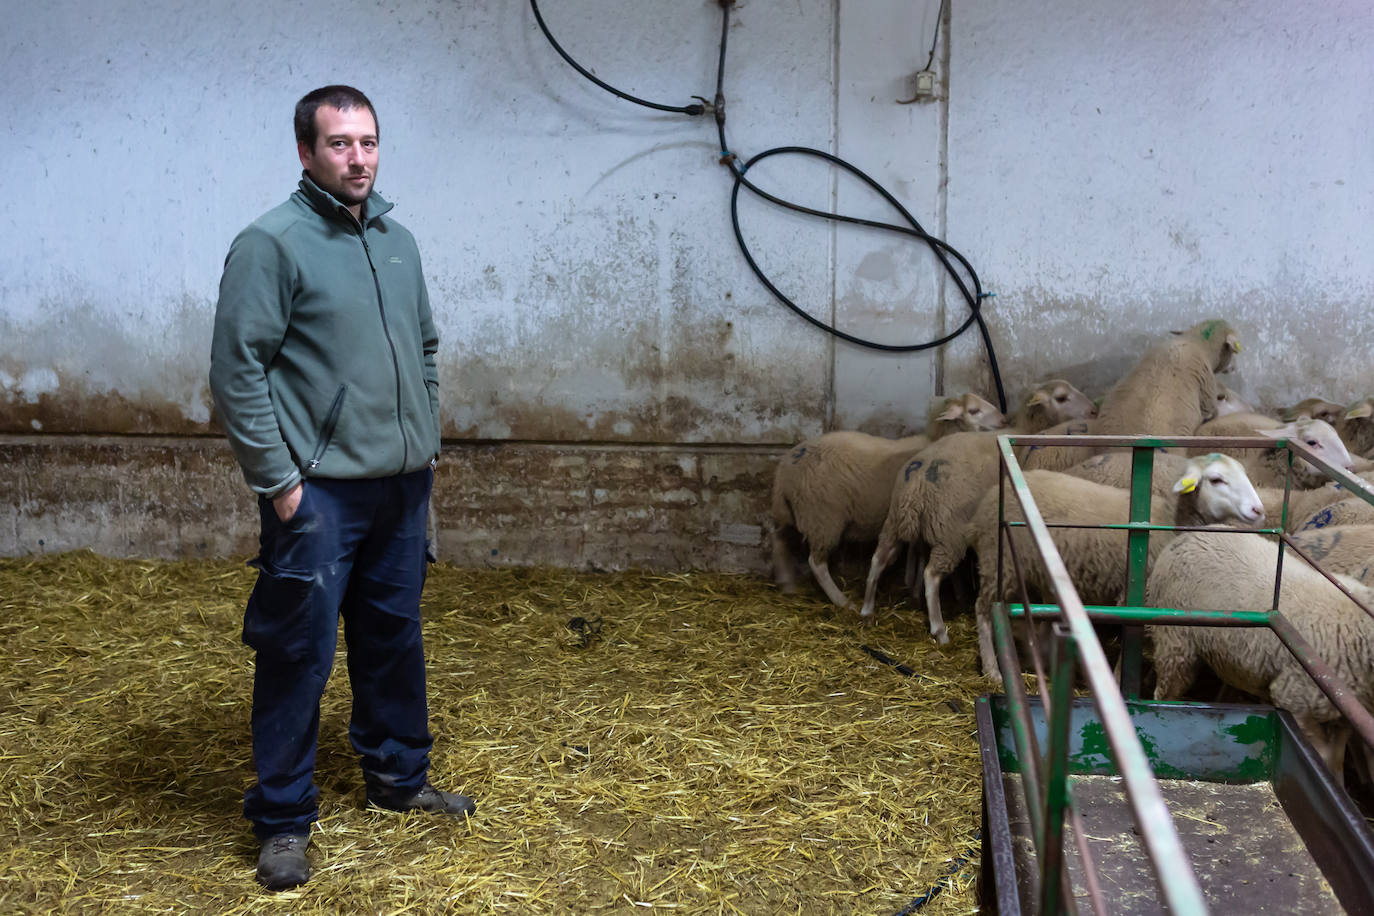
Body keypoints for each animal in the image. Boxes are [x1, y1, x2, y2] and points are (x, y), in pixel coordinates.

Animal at [769, 390, 1005, 604]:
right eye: (974, 410)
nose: (1003, 419)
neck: (934, 439)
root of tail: (785, 473)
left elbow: (917, 552)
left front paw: (915, 587)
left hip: (789, 511)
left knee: (779, 539)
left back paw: (787, 584)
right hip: (823, 518)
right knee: (816, 563)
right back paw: (843, 602)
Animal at [956, 455, 1264, 678]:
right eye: (1216, 479)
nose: (1258, 510)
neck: (1170, 521)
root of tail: (986, 502)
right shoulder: (1136, 594)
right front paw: (1118, 679)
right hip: (997, 561)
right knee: (982, 609)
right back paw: (993, 670)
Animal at [1148, 527, 1374, 780]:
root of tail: (1185, 536)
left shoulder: (1344, 716)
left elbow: (1335, 762)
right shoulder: (1293, 699)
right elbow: (1322, 756)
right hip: (1175, 640)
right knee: (1165, 691)